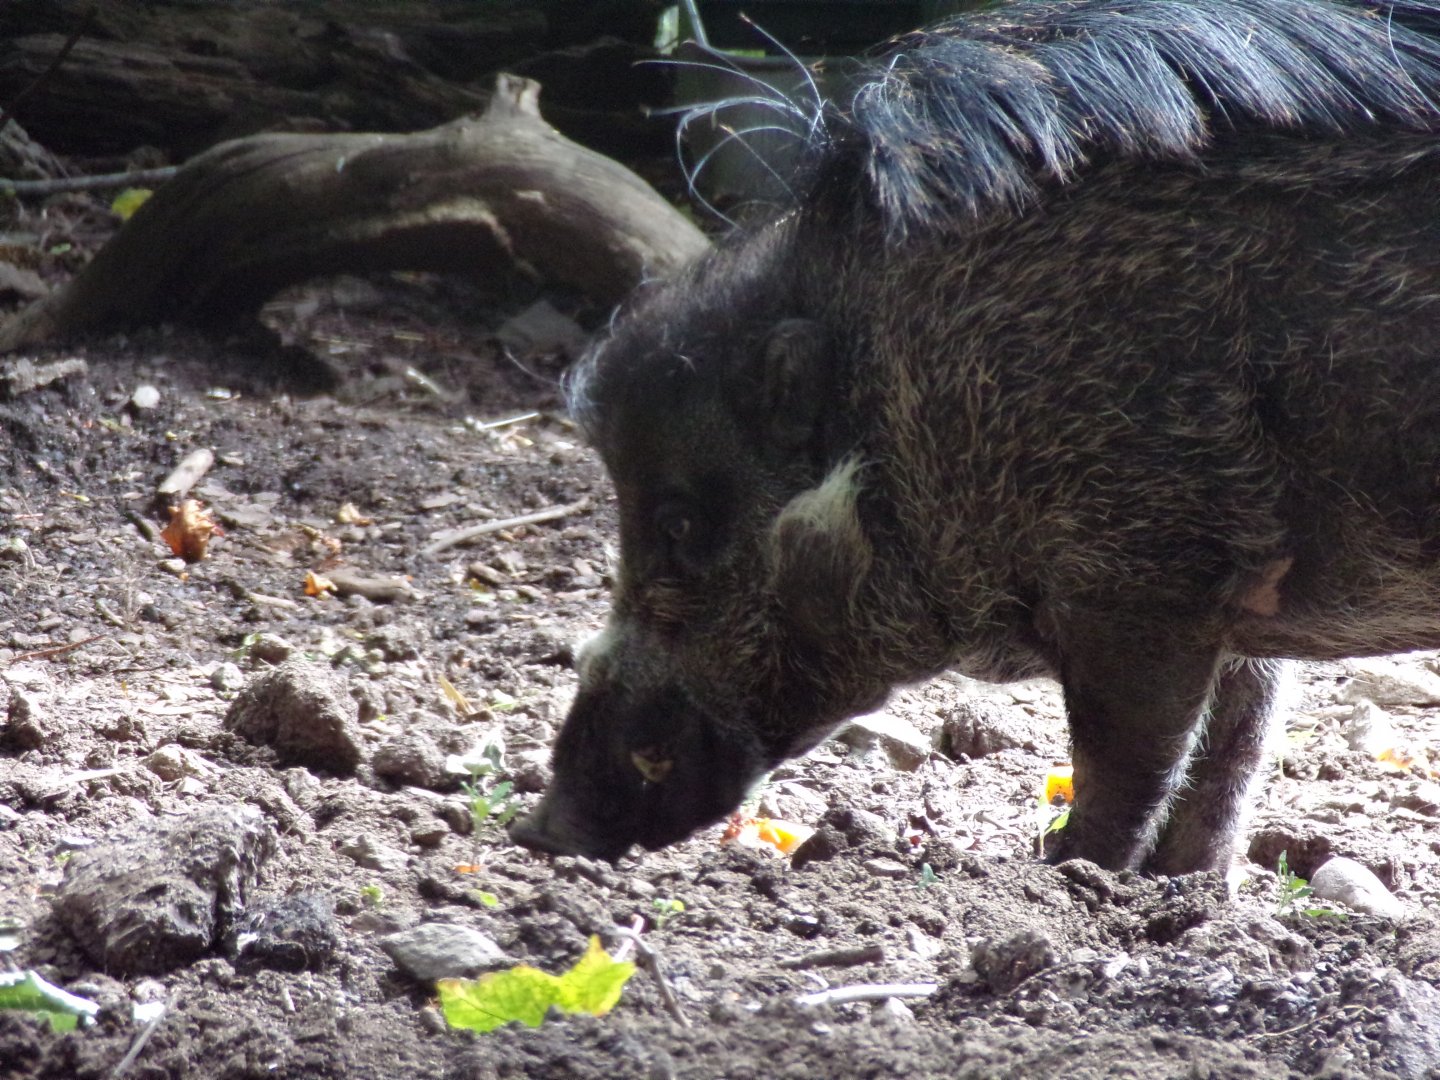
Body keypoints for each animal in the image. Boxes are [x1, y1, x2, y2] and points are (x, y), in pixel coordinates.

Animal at [511, 0, 1440, 874]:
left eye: (678, 520)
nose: (543, 831)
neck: (911, 379)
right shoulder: (1244, 602)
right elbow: (1233, 752)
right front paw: (1184, 892)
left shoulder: (1140, 578)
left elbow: (1130, 762)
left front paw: (1069, 875)